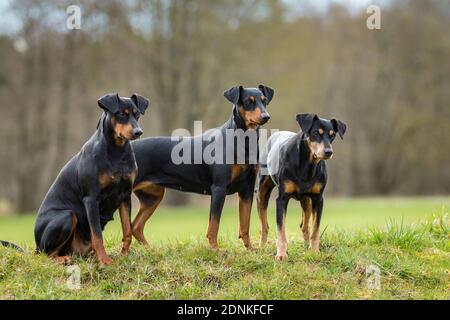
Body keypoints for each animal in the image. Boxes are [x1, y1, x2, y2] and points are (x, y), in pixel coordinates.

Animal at [34, 92, 149, 264]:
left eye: (137, 114)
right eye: (121, 114)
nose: (138, 132)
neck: (117, 152)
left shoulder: (125, 195)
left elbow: (127, 230)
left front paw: (124, 255)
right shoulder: (91, 199)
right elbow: (97, 236)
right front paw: (105, 261)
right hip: (66, 216)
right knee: (47, 254)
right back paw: (64, 259)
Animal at [128, 85, 272, 250]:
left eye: (264, 101)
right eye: (249, 101)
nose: (266, 116)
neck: (243, 141)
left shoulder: (246, 189)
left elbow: (244, 224)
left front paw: (250, 249)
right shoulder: (219, 188)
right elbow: (214, 225)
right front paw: (216, 250)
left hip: (152, 197)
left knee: (136, 226)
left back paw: (151, 250)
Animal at [256, 114, 348, 262]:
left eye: (332, 135)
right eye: (316, 133)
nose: (328, 152)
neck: (307, 164)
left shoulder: (318, 199)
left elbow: (315, 228)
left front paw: (315, 251)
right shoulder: (282, 199)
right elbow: (281, 231)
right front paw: (281, 255)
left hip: (307, 200)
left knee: (304, 225)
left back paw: (307, 245)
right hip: (262, 191)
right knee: (264, 224)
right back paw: (262, 246)